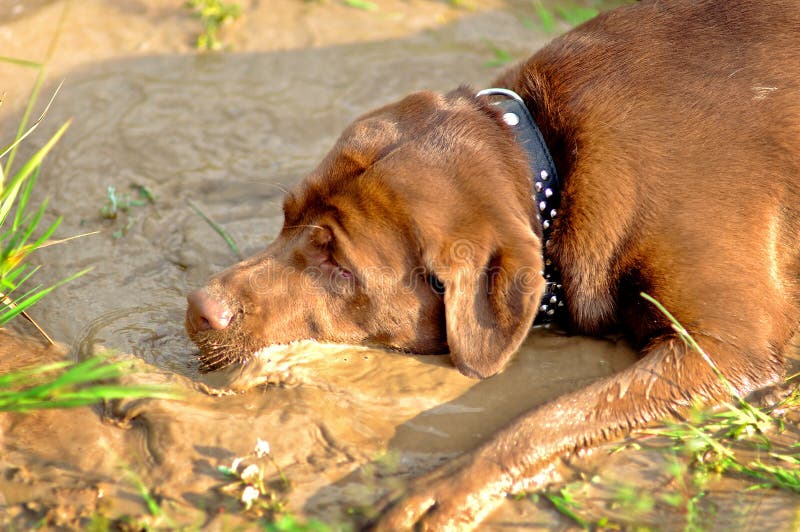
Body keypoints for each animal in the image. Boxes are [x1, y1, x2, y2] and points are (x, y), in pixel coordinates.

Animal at [189, 1, 800, 528]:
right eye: (285, 217)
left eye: (341, 269)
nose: (199, 309)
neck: (547, 162)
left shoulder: (728, 347)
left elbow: (550, 415)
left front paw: (441, 491)